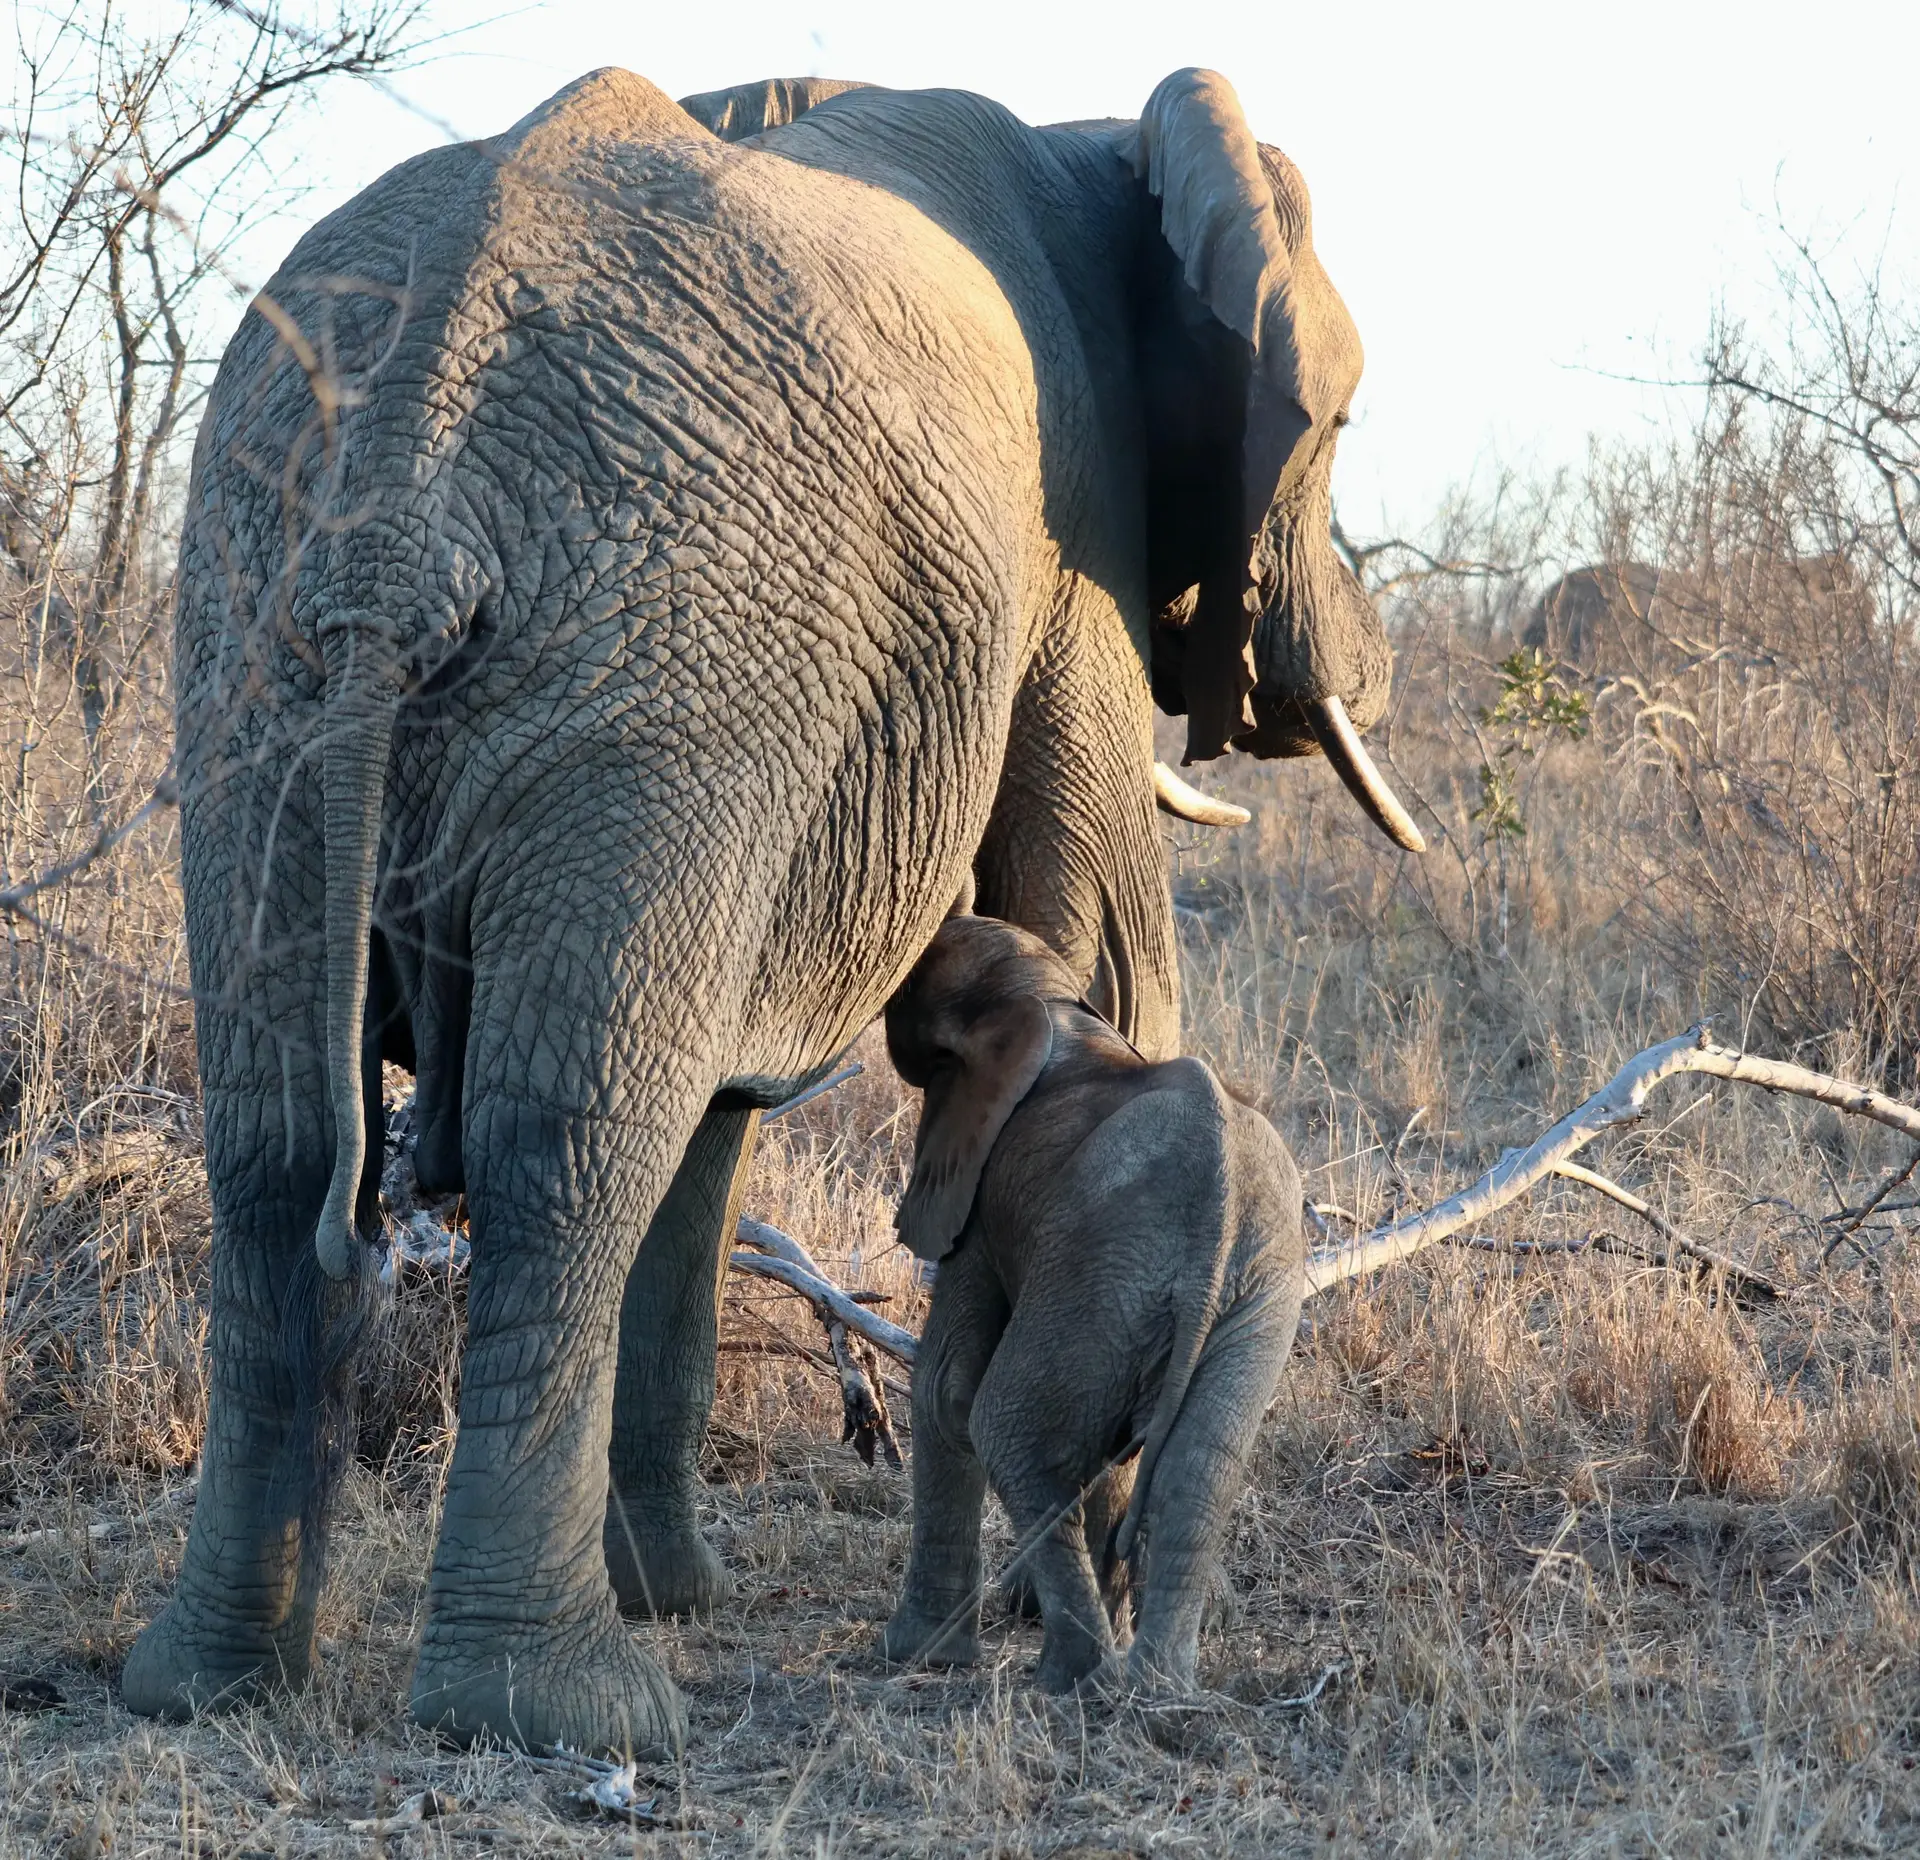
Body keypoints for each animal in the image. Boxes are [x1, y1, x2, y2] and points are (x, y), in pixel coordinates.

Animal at [875, 906, 1305, 1689]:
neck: (1043, 997)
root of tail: (1220, 1211)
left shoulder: (981, 1195)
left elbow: (944, 1388)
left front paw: (916, 1657)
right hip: (1243, 1296)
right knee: (1197, 1469)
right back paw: (1158, 1686)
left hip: (1103, 1265)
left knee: (1011, 1429)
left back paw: (1076, 1681)